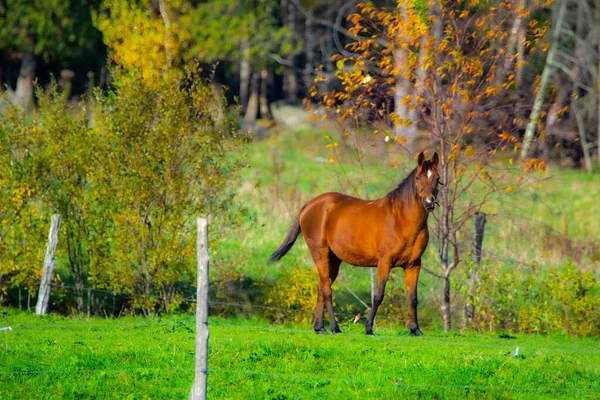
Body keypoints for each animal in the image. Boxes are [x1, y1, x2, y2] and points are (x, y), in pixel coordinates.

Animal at [268, 152, 440, 336]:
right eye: (417, 177)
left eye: (437, 178)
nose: (429, 202)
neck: (400, 218)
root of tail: (310, 204)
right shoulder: (384, 262)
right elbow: (378, 295)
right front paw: (369, 328)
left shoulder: (413, 265)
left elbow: (412, 298)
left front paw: (416, 330)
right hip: (319, 253)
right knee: (327, 290)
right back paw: (335, 327)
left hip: (334, 260)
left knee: (321, 287)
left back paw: (320, 327)